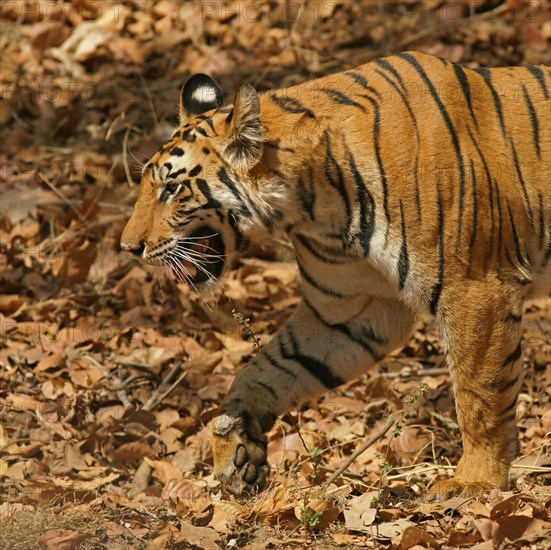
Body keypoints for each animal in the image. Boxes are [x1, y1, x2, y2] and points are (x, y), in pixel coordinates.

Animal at [122, 51, 551, 500]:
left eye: (171, 189)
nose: (128, 247)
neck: (312, 209)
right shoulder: (355, 307)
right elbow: (271, 367)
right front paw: (236, 444)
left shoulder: (475, 289)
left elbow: (478, 393)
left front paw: (475, 481)